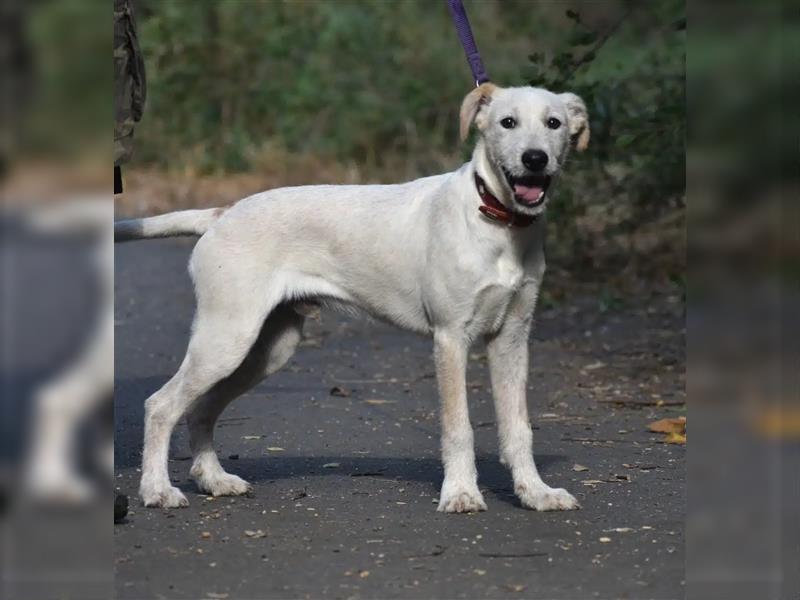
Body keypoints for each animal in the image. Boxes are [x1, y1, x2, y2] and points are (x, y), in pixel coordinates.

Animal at [117, 84, 592, 512]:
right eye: (507, 122)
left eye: (554, 123)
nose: (535, 159)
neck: (496, 220)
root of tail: (221, 214)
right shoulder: (450, 338)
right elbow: (459, 427)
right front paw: (460, 493)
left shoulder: (511, 340)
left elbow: (518, 429)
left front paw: (535, 493)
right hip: (226, 340)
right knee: (160, 406)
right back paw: (157, 490)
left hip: (266, 350)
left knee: (200, 410)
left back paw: (214, 480)